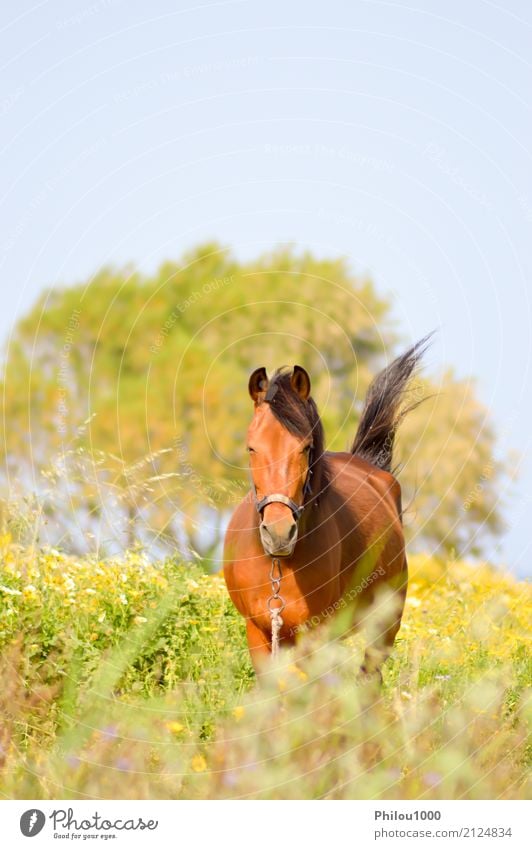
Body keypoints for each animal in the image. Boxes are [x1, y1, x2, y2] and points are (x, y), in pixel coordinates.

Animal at [223, 338, 428, 676]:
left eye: (305, 448)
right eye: (251, 447)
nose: (279, 534)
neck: (280, 564)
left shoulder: (315, 635)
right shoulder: (258, 632)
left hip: (384, 626)